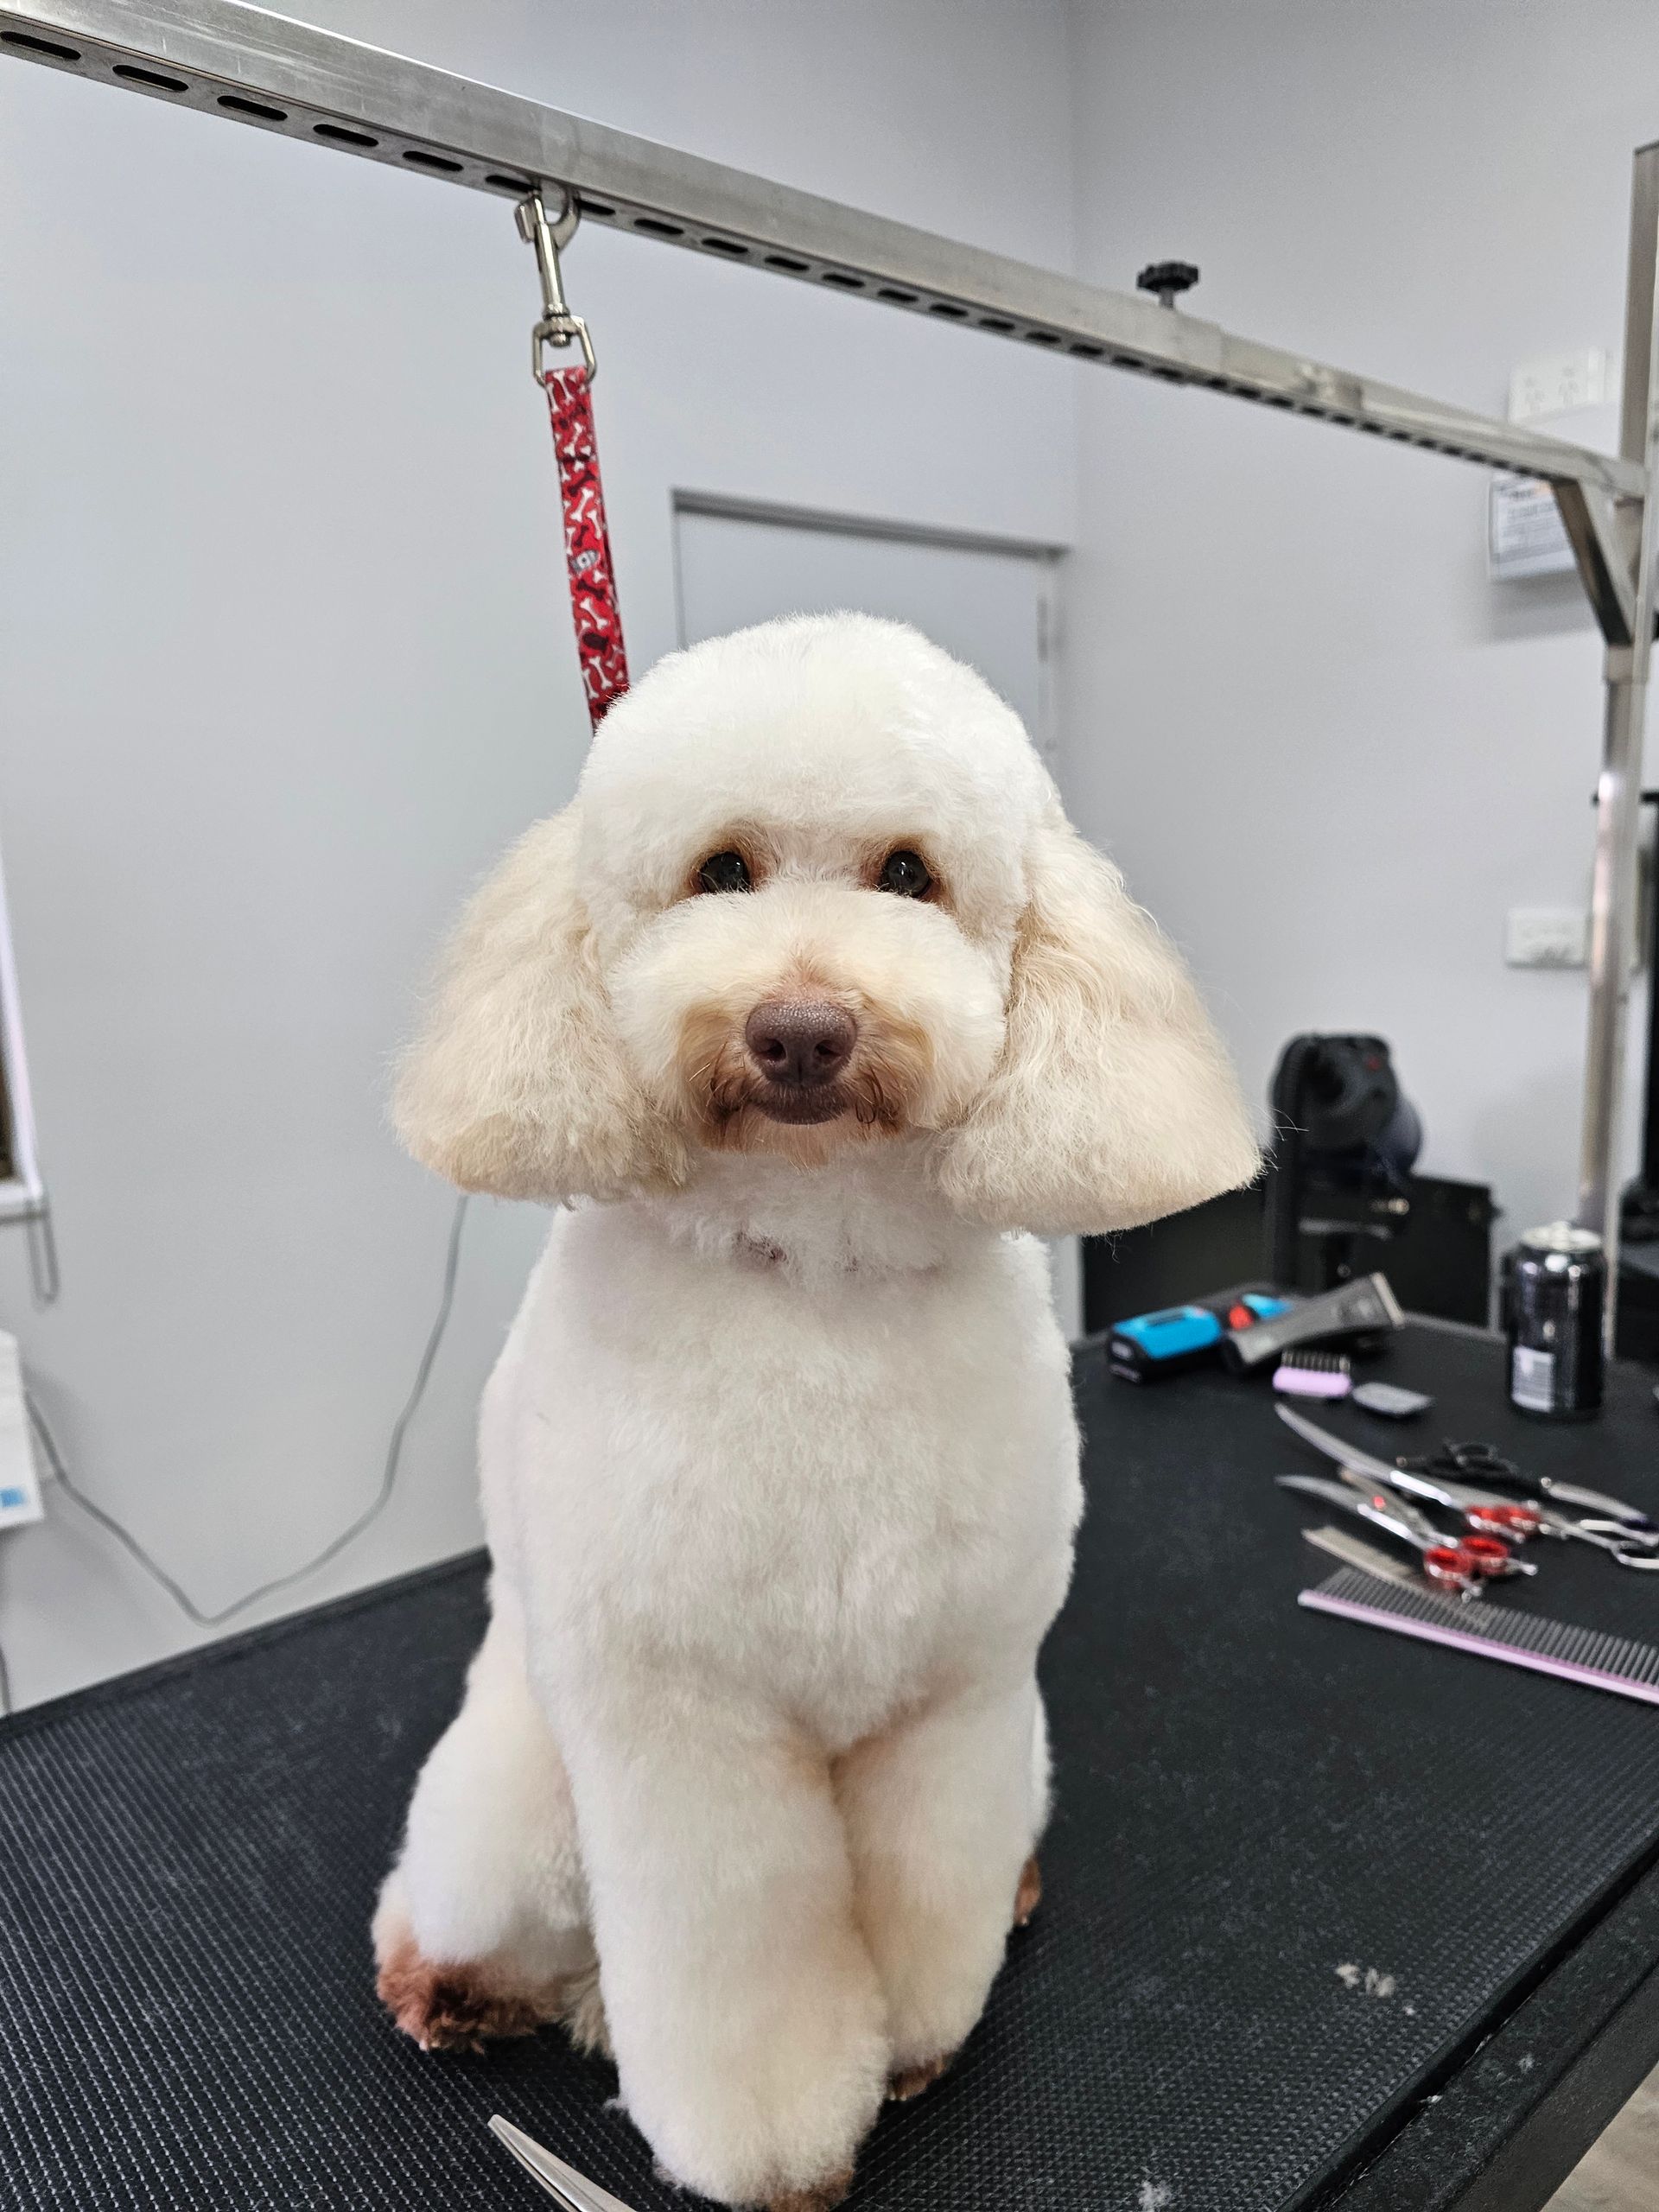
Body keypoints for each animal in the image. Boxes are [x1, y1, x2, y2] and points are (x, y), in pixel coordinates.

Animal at [373, 613, 1257, 2210]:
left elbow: (927, 1882)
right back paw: (463, 1992)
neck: (821, 1265)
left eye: (909, 874)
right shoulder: (689, 1732)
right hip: (516, 1812)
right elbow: (739, 1962)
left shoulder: (957, 1695)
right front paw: (780, 2138)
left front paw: (912, 2039)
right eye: (719, 871)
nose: (800, 1032)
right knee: (451, 1916)